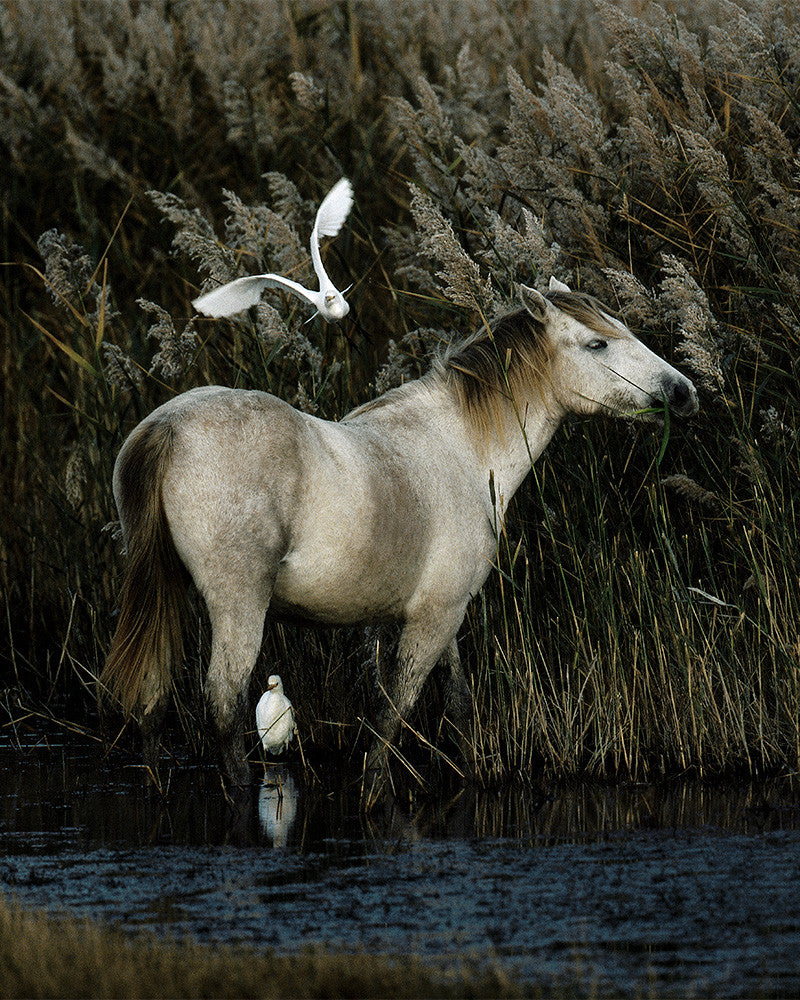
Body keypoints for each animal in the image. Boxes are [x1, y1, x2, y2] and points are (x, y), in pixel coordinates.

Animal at [101, 278, 698, 792]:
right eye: (598, 343)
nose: (683, 392)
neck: (464, 448)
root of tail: (168, 427)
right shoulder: (433, 619)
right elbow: (392, 716)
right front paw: (376, 792)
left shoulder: (441, 615)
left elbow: (456, 702)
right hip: (238, 604)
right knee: (224, 705)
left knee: (151, 701)